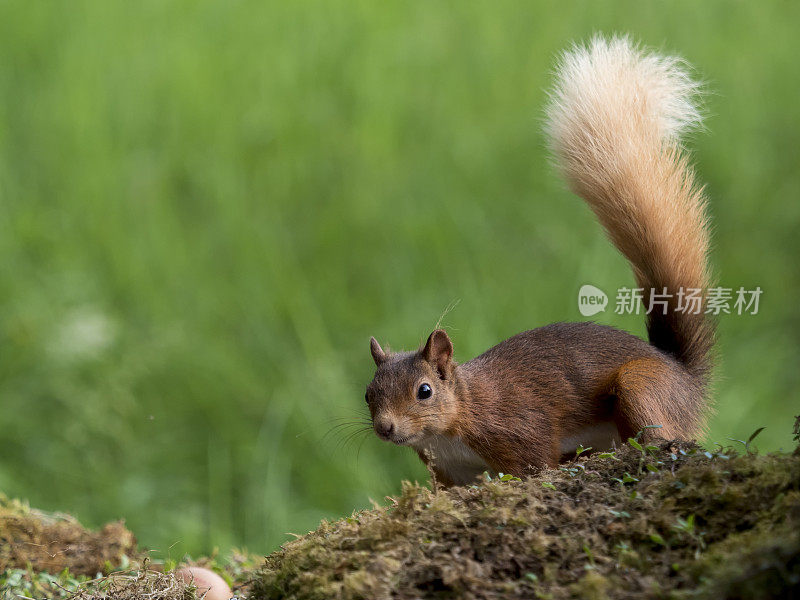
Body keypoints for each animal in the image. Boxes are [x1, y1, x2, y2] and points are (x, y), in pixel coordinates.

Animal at [366, 36, 716, 488]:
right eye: (369, 393)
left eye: (424, 391)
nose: (385, 428)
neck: (459, 415)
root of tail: (684, 376)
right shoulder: (451, 472)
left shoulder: (519, 431)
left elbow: (534, 464)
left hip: (642, 386)